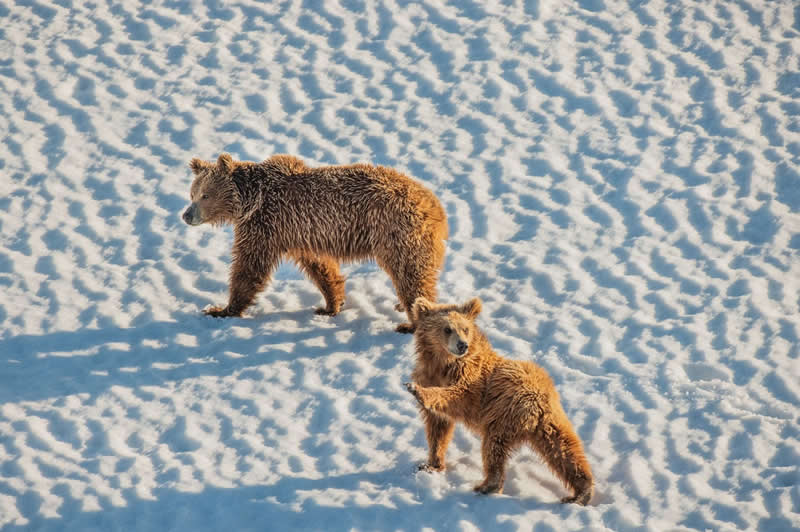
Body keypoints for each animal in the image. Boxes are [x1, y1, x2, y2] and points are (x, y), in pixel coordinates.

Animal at [182, 153, 448, 333]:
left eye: (205, 195)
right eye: (192, 193)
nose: (186, 215)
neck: (250, 201)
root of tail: (436, 208)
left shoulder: (265, 225)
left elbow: (249, 267)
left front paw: (221, 309)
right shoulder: (302, 233)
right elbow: (321, 268)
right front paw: (330, 305)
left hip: (396, 232)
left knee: (409, 275)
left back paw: (410, 322)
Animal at [404, 297, 594, 505]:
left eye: (465, 329)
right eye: (447, 329)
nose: (462, 345)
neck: (441, 364)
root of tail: (537, 408)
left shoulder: (471, 381)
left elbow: (456, 396)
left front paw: (416, 390)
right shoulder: (430, 376)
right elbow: (438, 429)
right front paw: (431, 464)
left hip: (503, 412)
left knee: (493, 448)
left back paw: (486, 486)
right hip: (551, 422)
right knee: (565, 450)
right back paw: (581, 492)